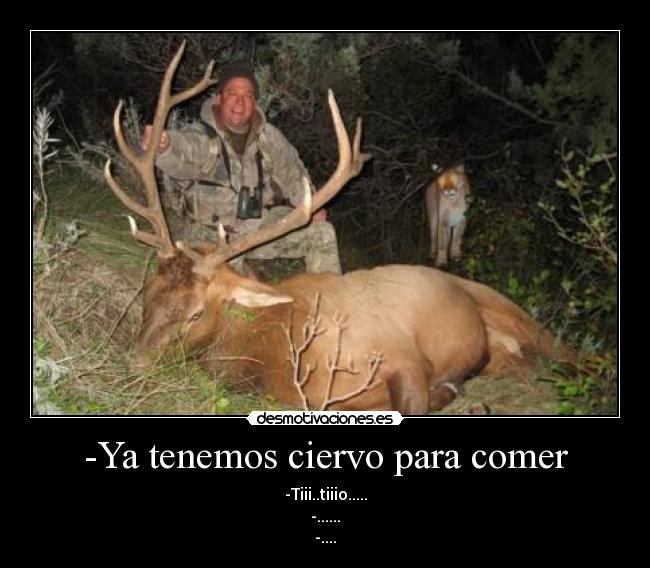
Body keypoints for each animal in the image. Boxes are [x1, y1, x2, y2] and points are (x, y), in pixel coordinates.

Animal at [104, 42, 573, 414]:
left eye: (197, 311)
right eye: (147, 293)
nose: (135, 363)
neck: (278, 354)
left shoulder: (402, 357)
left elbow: (419, 400)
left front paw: (452, 391)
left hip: (513, 312)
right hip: (504, 349)